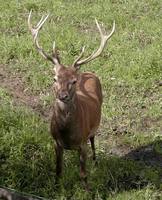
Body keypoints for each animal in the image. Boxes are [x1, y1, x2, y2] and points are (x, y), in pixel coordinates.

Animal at [28, 10, 115, 188]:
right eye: (54, 78)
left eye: (73, 81)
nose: (63, 95)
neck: (67, 133)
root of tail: (88, 73)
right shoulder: (56, 142)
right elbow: (58, 170)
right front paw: (56, 188)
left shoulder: (82, 143)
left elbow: (83, 174)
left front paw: (87, 190)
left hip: (94, 126)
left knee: (93, 140)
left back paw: (95, 161)